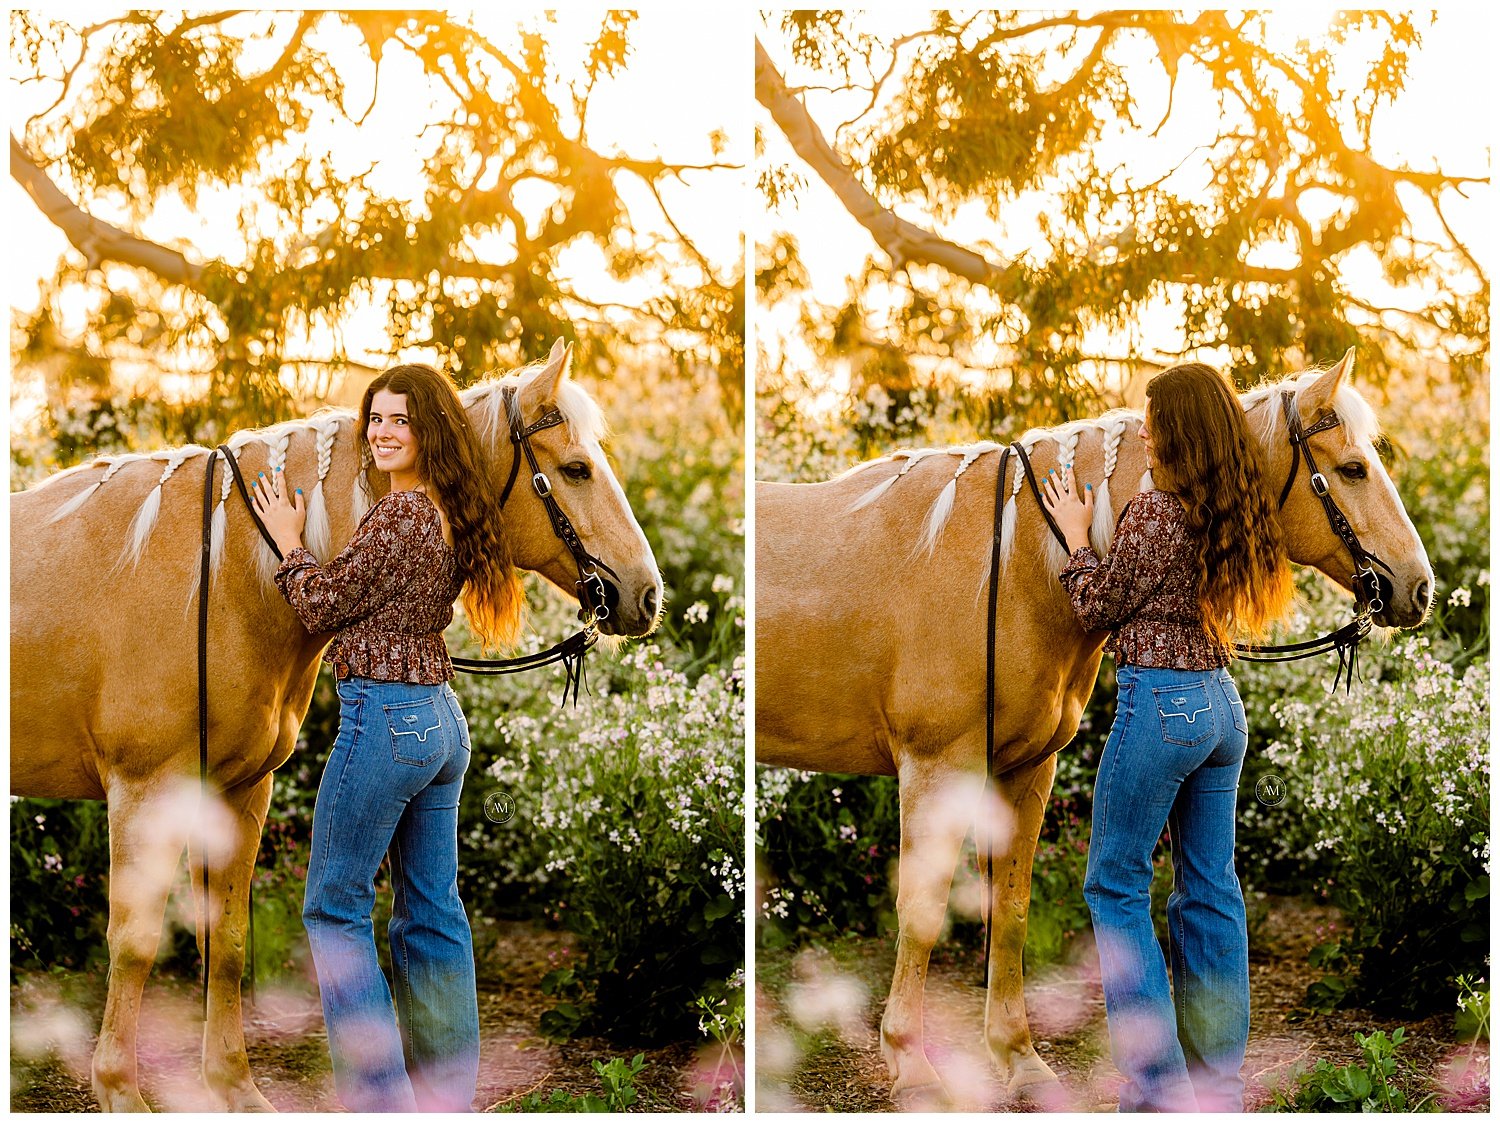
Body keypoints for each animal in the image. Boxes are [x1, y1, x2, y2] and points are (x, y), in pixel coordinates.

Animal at [8, 337, 660, 1109]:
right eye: (576, 468)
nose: (647, 594)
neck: (223, 573)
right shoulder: (147, 791)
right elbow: (134, 943)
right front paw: (120, 1093)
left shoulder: (238, 792)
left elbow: (226, 940)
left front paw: (235, 1088)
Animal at [756, 355, 1434, 1109]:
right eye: (1352, 468)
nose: (1419, 586)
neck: (1014, 563)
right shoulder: (938, 766)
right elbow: (922, 910)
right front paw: (911, 1061)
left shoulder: (1024, 771)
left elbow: (1011, 910)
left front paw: (1018, 1058)